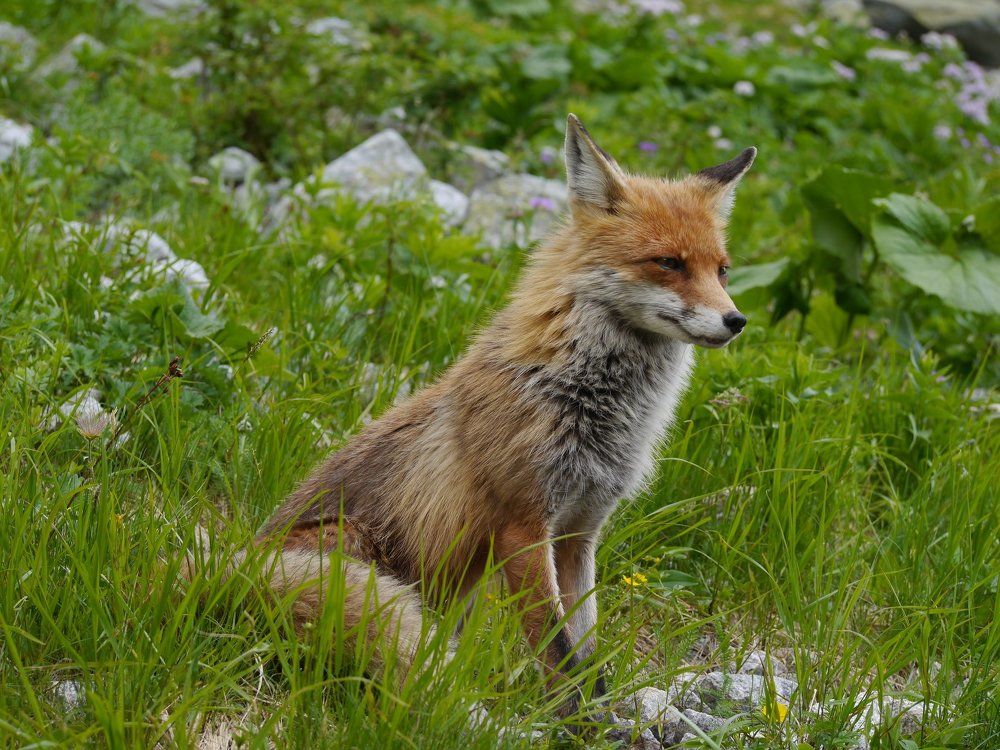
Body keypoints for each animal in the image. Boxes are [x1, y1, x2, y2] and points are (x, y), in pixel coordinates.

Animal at [189, 114, 755, 716]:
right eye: (668, 263)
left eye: (722, 270)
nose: (735, 320)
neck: (587, 401)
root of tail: (221, 572)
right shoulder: (523, 528)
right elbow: (559, 656)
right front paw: (575, 726)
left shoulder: (579, 534)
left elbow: (588, 652)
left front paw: (600, 718)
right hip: (349, 549)